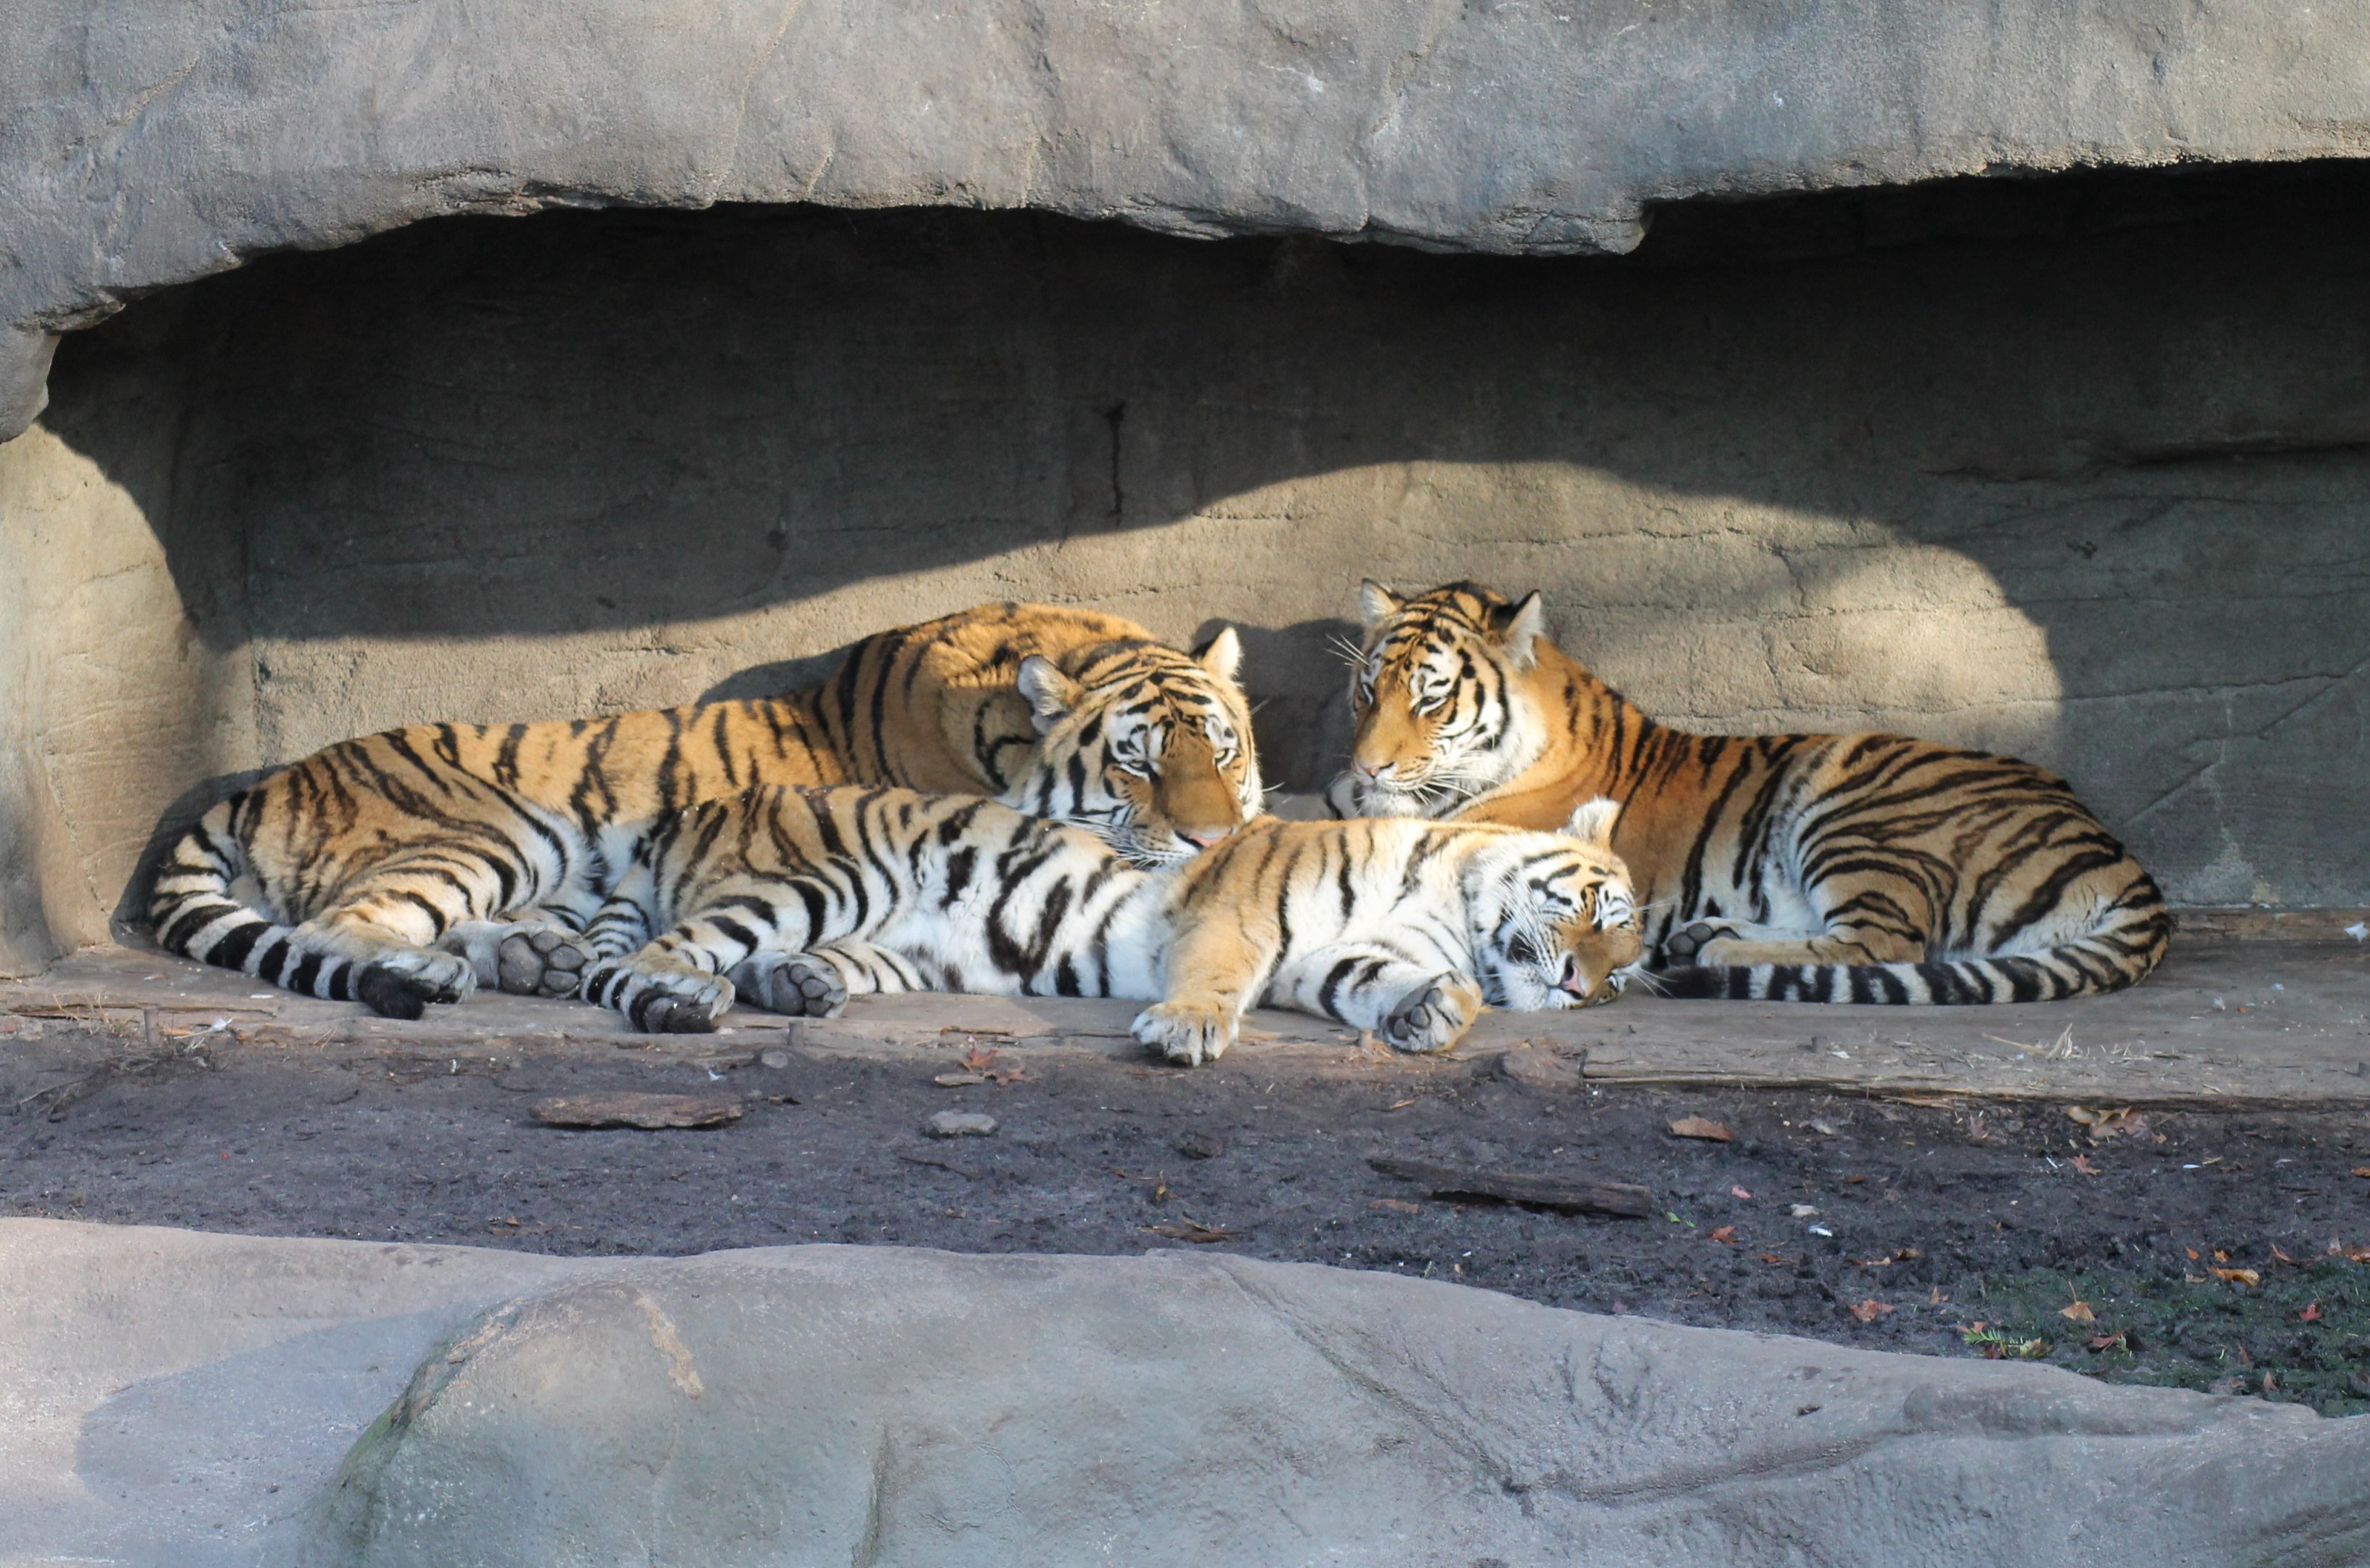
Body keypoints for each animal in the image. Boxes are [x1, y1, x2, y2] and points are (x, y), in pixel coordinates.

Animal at [148, 604, 1262, 1019]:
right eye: (1135, 765)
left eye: (1223, 749)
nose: (1215, 837)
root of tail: (260, 782)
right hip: (497, 831)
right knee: (345, 923)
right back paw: (435, 972)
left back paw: (530, 959)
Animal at [566, 784, 1644, 1064]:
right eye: (1595, 911)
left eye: (1624, 981)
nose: (1580, 984)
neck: (1444, 907)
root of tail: (692, 811)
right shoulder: (1235, 916)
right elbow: (1215, 977)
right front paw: (1184, 1030)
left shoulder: (1326, 963)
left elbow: (1388, 985)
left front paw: (1431, 1015)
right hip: (820, 880)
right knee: (646, 960)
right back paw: (685, 999)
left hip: (889, 952)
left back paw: (798, 985)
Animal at [1325, 580, 2170, 1005]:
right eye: (1367, 692)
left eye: (1431, 700)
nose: (1366, 769)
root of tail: (2123, 862)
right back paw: (1702, 934)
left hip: (1854, 804)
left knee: (1880, 943)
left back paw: (1713, 945)